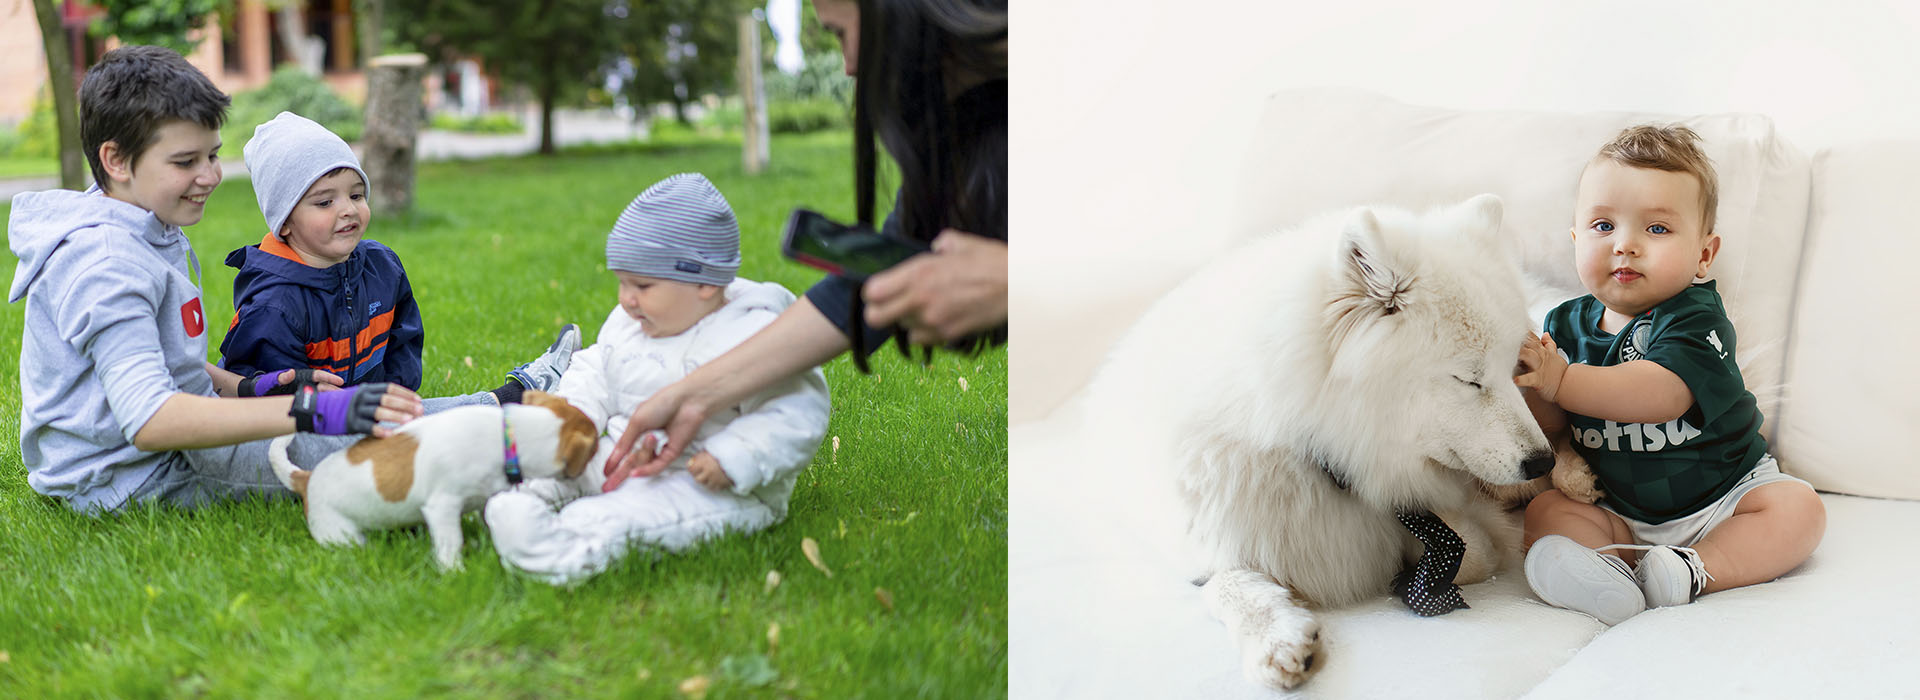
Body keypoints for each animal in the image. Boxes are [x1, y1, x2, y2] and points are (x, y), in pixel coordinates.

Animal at [270, 387, 595, 567]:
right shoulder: (442, 506)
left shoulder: (482, 495)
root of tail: (306, 478)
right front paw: (455, 571)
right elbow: (451, 541)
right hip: (339, 533)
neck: (510, 436)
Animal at [1090, 190, 1551, 686]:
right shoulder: (1205, 537)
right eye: (1469, 379)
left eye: (1512, 369)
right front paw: (1275, 638)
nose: (1543, 461)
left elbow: (1470, 548)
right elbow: (1224, 581)